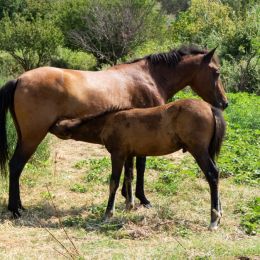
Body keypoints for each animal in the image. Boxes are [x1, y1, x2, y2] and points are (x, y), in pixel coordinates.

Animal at [50, 98, 225, 230]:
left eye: (58, 125)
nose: (49, 126)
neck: (109, 121)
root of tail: (210, 107)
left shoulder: (117, 154)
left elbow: (114, 182)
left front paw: (108, 214)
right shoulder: (129, 154)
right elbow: (129, 177)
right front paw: (129, 205)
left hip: (198, 150)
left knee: (212, 174)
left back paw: (213, 220)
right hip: (209, 151)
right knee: (216, 175)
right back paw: (219, 215)